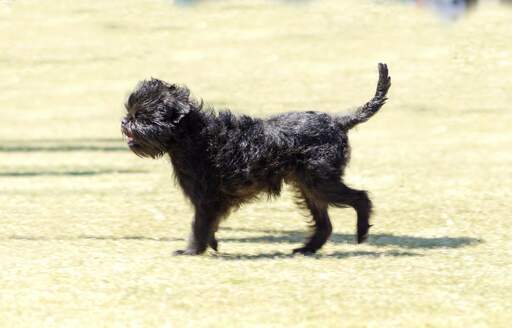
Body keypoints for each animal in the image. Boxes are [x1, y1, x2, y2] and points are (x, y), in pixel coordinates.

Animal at [122, 62, 390, 255]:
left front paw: (191, 250)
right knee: (325, 224)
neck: (193, 135)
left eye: (143, 117)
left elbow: (199, 224)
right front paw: (211, 245)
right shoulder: (211, 200)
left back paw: (361, 233)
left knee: (361, 197)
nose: (125, 121)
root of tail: (337, 121)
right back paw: (307, 249)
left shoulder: (207, 197)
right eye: (130, 113)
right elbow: (209, 224)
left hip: (320, 181)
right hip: (308, 185)